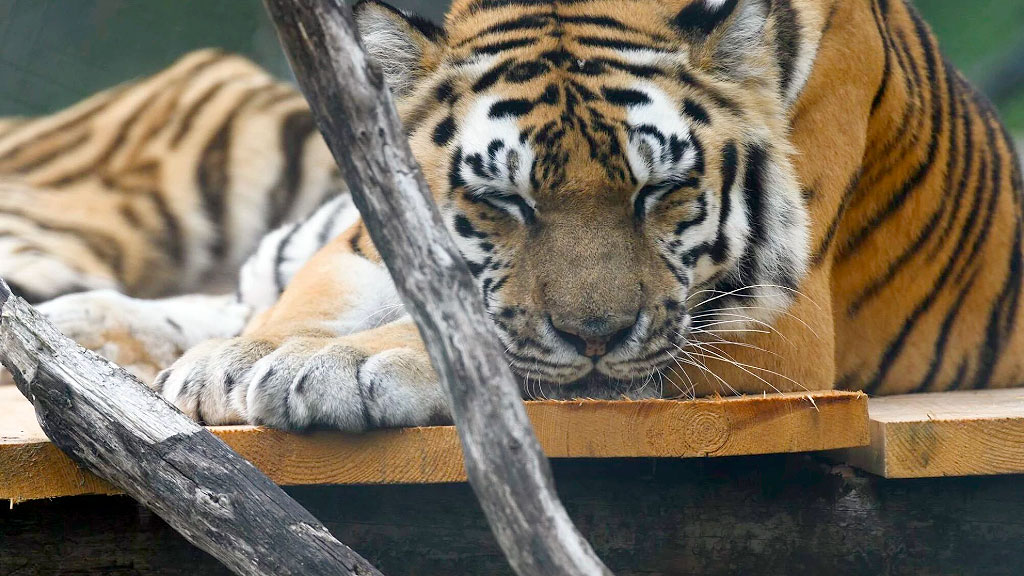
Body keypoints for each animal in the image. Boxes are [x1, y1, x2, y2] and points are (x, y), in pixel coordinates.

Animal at [5, 0, 1023, 431]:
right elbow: (326, 295)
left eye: (659, 191)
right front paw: (245, 360)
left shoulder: (773, 329)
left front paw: (329, 368)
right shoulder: (377, 223)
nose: (599, 336)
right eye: (502, 200)